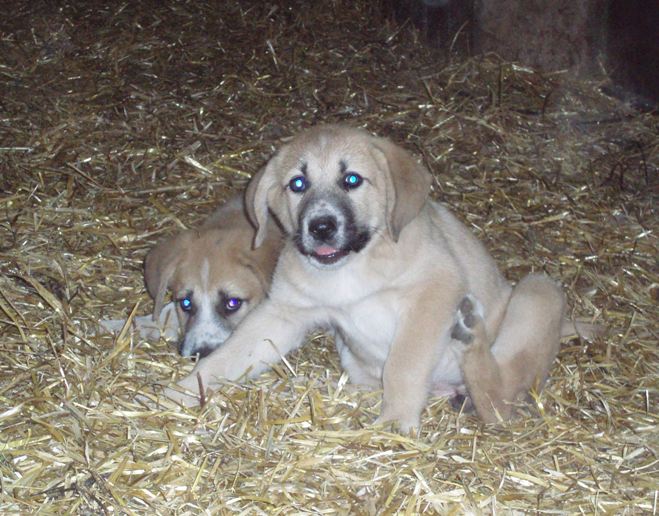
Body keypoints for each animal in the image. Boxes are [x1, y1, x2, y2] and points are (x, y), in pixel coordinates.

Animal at [165, 125, 584, 432]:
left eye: (352, 180)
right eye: (298, 184)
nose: (321, 227)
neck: (351, 269)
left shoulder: (435, 292)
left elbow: (404, 364)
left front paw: (395, 422)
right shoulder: (282, 314)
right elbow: (228, 357)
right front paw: (180, 393)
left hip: (539, 291)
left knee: (501, 404)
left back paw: (471, 337)